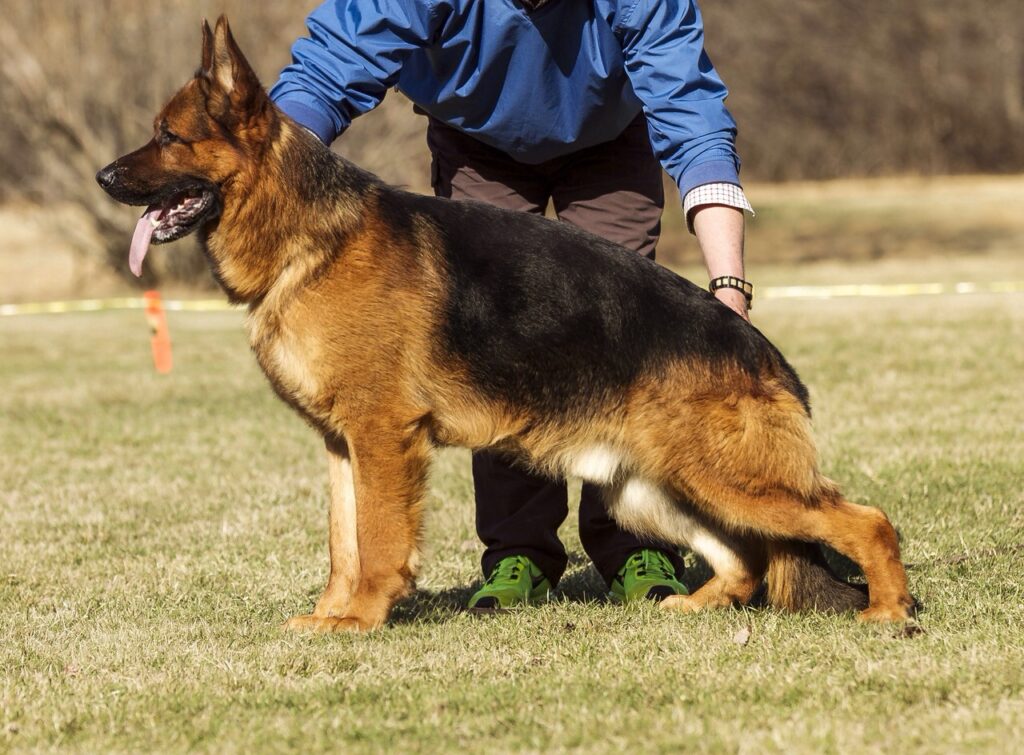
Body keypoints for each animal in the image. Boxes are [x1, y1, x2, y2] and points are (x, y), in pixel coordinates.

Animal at [96, 17, 913, 631]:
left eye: (168, 137)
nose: (104, 178)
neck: (308, 238)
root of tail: (760, 351)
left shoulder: (382, 436)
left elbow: (379, 540)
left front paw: (362, 618)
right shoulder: (341, 443)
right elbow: (342, 540)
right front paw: (332, 613)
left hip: (725, 479)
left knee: (866, 519)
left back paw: (888, 610)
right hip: (652, 489)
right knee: (743, 562)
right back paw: (694, 604)